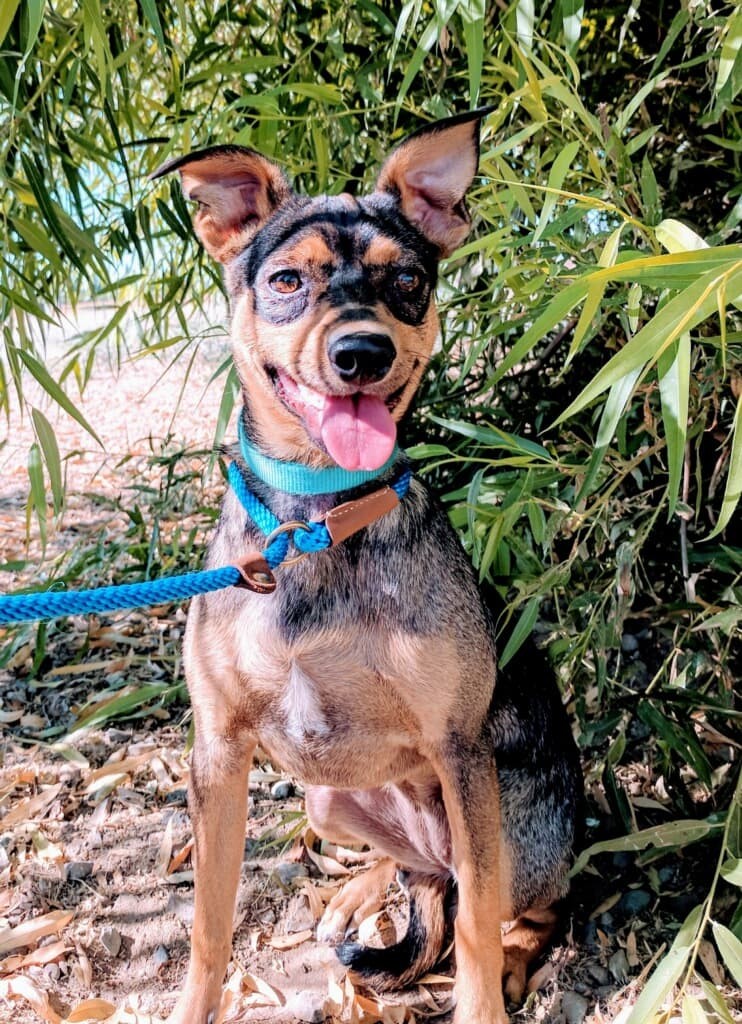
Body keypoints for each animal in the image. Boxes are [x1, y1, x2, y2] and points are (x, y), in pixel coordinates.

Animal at [153, 112, 581, 1024]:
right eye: (286, 280)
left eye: (409, 280)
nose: (361, 351)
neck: (316, 526)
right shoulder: (218, 753)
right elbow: (208, 924)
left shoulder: (461, 750)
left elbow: (476, 936)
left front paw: (485, 999)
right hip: (327, 799)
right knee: (423, 872)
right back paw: (363, 889)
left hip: (510, 828)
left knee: (509, 899)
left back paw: (516, 952)